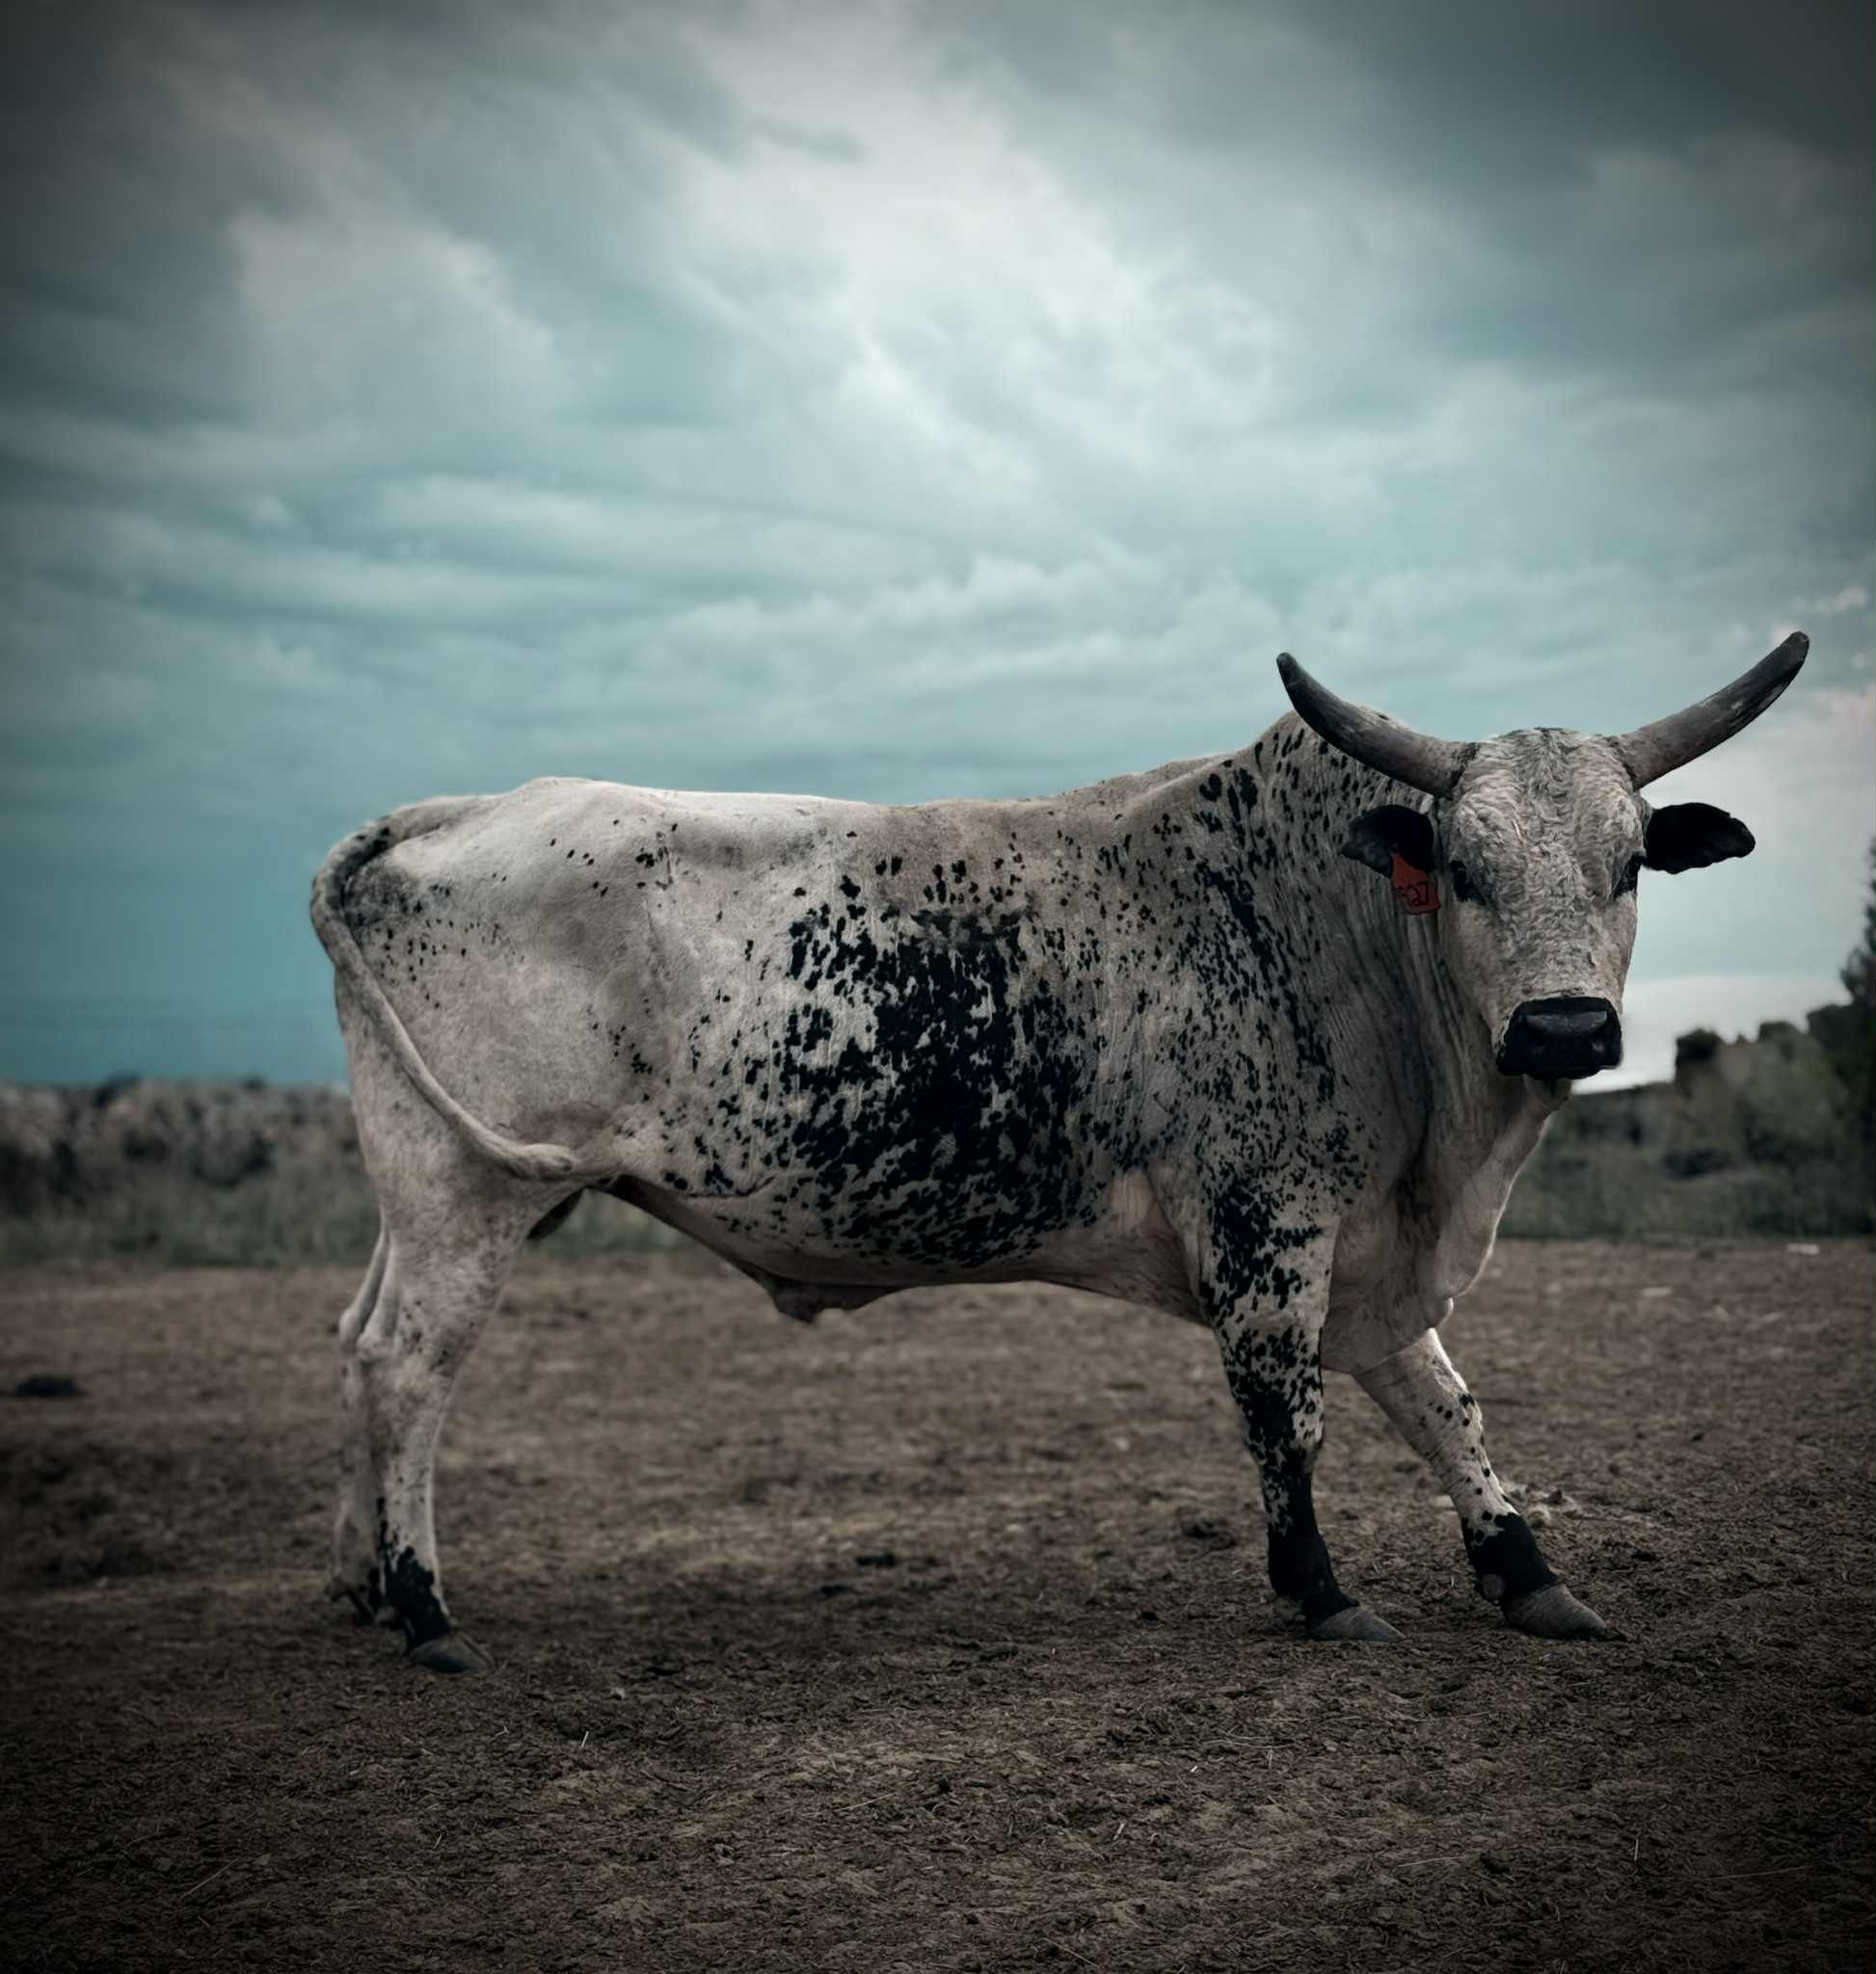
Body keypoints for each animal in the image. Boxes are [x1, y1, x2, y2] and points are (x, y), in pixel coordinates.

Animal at [311, 634, 1807, 1670]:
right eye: (1462, 865)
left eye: (1627, 863)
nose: (1562, 1025)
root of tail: (447, 812)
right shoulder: (1269, 1228)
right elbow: (1289, 1414)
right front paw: (1323, 1595)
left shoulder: (1368, 1240)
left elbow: (1442, 1403)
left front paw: (1527, 1571)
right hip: (470, 1190)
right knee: (408, 1366)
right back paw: (425, 1608)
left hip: (433, 1184)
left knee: (359, 1343)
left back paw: (362, 1585)